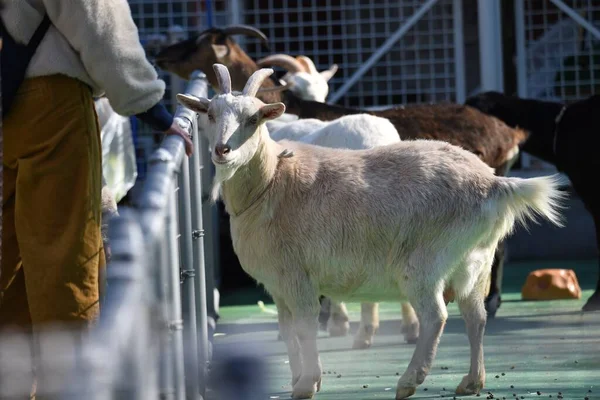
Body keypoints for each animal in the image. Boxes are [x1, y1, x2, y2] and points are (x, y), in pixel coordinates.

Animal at [176, 64, 564, 398]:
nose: (222, 150)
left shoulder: (298, 276)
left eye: (254, 118)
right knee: (476, 316)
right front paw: (298, 380)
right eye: (210, 114)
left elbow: (304, 326)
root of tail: (494, 184)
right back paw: (471, 382)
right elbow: (287, 331)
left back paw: (409, 381)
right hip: (475, 261)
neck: (272, 181)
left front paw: (307, 384)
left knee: (435, 315)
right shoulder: (278, 284)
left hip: (426, 261)